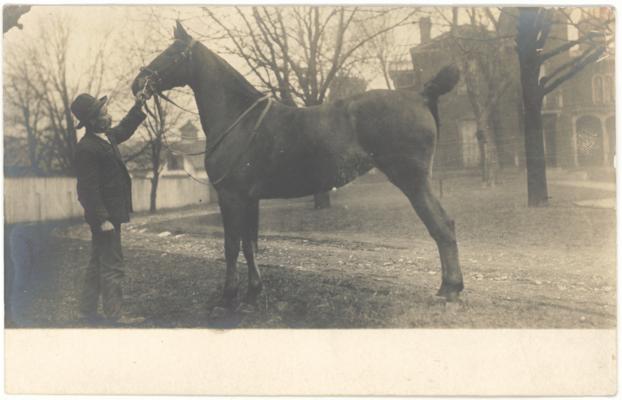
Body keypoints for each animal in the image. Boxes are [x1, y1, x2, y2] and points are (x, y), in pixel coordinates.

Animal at [132, 21, 464, 310]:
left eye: (172, 53)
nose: (138, 84)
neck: (238, 119)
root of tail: (420, 95)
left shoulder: (231, 197)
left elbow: (231, 246)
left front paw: (229, 296)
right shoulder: (249, 199)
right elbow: (250, 244)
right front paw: (254, 292)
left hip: (412, 181)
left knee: (441, 227)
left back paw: (450, 290)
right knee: (445, 225)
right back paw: (450, 288)